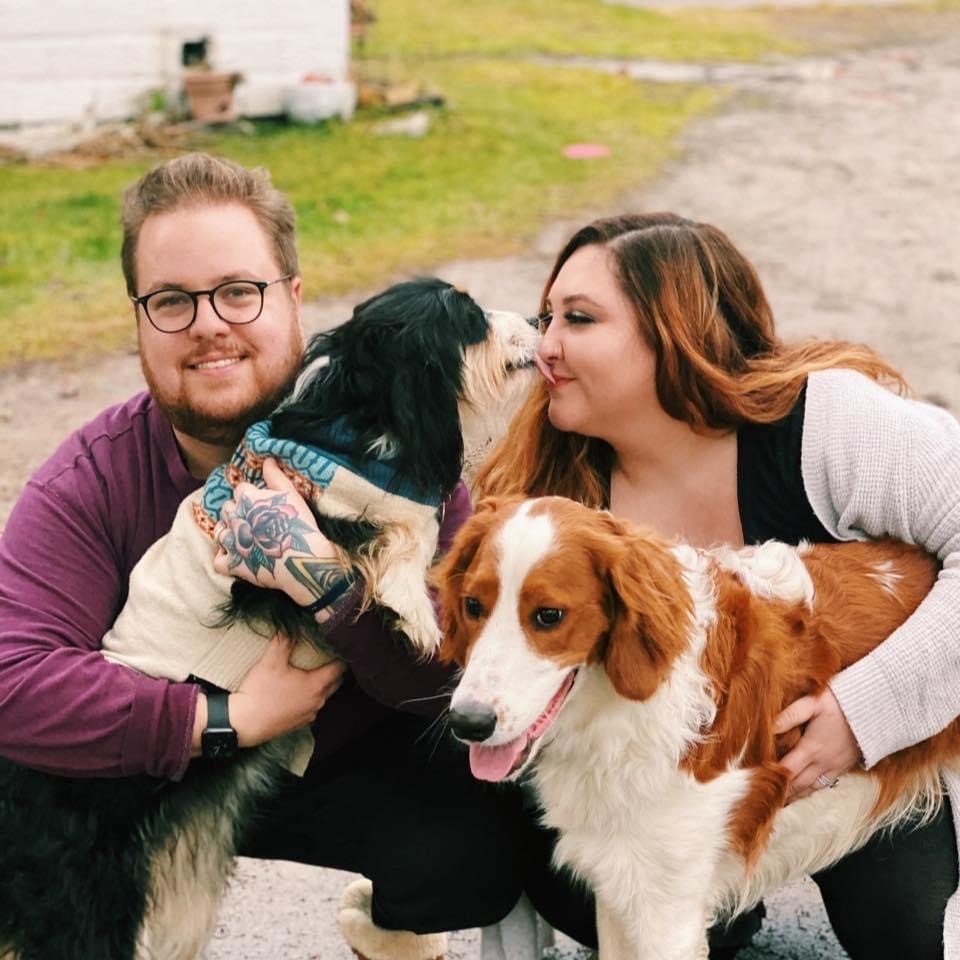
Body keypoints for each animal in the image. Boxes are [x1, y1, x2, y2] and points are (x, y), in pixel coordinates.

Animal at [0, 276, 540, 960]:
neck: (366, 416)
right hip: (88, 888)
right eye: (469, 317)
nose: (537, 319)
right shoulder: (277, 535)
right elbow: (391, 533)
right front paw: (415, 612)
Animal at [436, 496, 960, 960]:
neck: (622, 712)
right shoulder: (620, 884)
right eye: (473, 605)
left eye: (548, 616)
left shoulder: (667, 910)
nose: (468, 723)